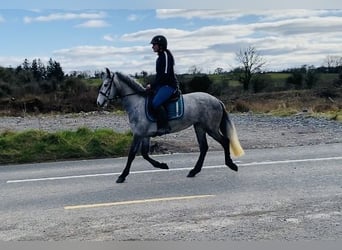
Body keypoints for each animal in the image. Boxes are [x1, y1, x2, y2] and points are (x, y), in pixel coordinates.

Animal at [97, 68, 244, 184]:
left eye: (106, 85)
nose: (99, 103)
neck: (137, 103)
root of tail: (217, 100)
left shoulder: (138, 134)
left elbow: (132, 154)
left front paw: (122, 176)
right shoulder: (144, 135)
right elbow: (144, 154)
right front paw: (162, 165)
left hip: (210, 128)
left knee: (224, 141)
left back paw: (231, 165)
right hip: (200, 127)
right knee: (204, 147)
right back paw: (194, 171)